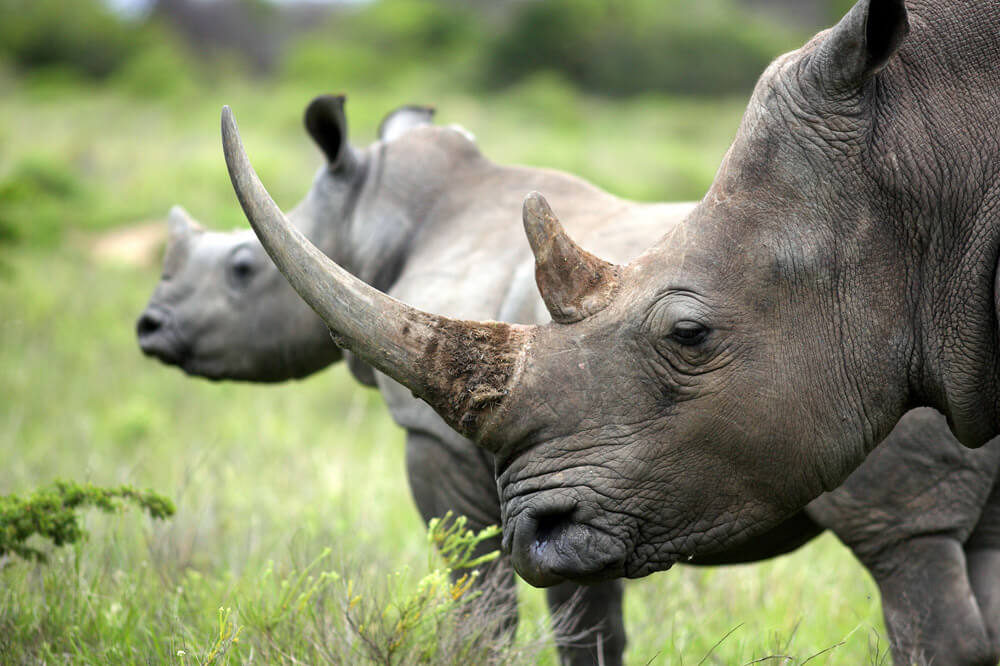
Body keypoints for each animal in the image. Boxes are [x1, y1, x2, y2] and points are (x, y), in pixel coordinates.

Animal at [220, 0, 1000, 662]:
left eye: (689, 334)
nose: (536, 530)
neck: (938, 154)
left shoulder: (432, 447)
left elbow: (478, 590)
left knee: (904, 543)